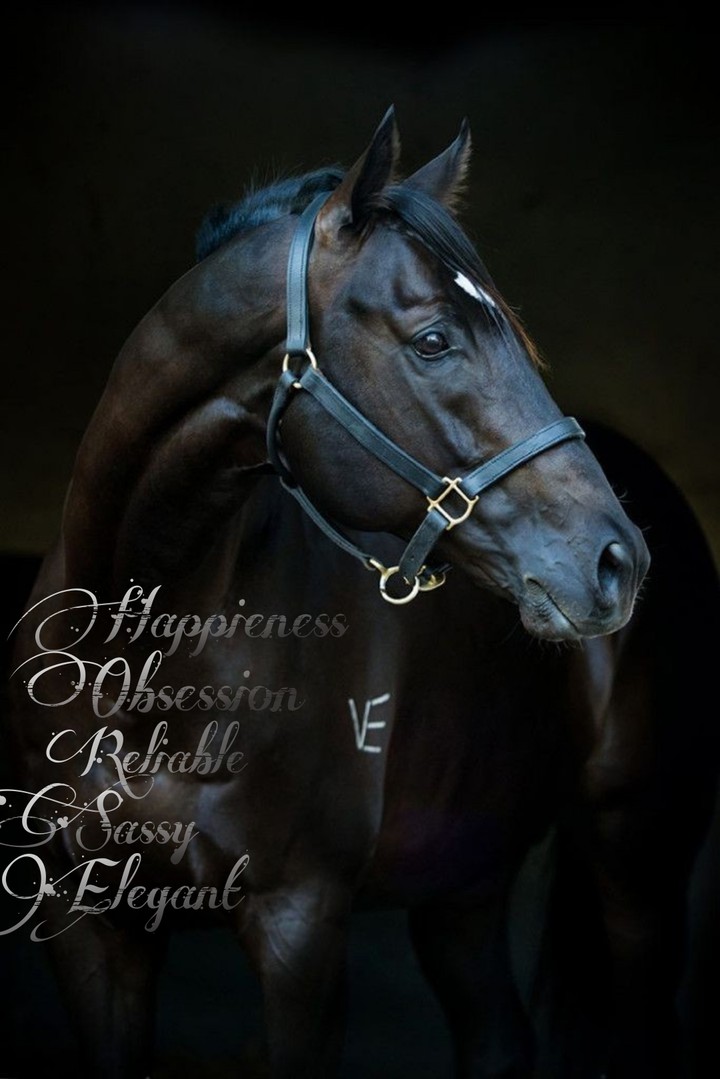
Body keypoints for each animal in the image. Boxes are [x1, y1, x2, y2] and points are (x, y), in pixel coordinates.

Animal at [4, 107, 718, 1078]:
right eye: (434, 340)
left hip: (638, 864)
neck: (141, 664)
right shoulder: (88, 923)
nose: (616, 561)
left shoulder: (300, 923)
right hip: (464, 879)